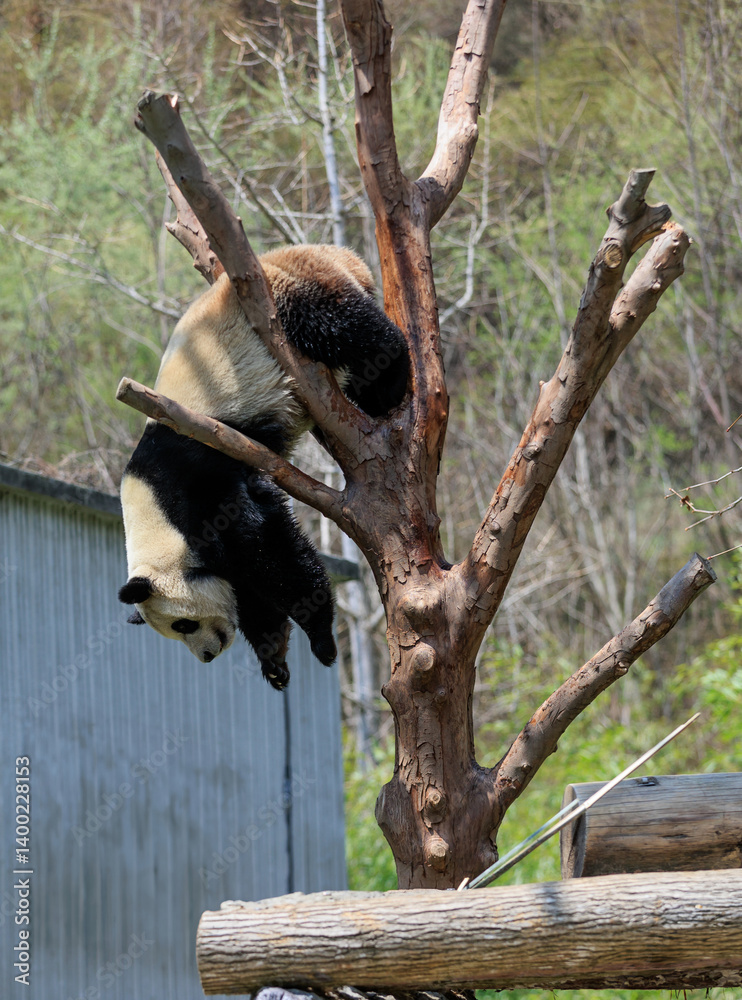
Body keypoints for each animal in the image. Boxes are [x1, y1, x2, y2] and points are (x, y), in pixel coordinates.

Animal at [118, 245, 408, 690]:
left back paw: (389, 387)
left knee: (352, 332)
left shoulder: (198, 483)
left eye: (183, 625)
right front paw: (274, 661)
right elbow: (247, 587)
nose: (207, 655)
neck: (155, 512)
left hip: (292, 298)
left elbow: (269, 544)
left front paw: (321, 640)